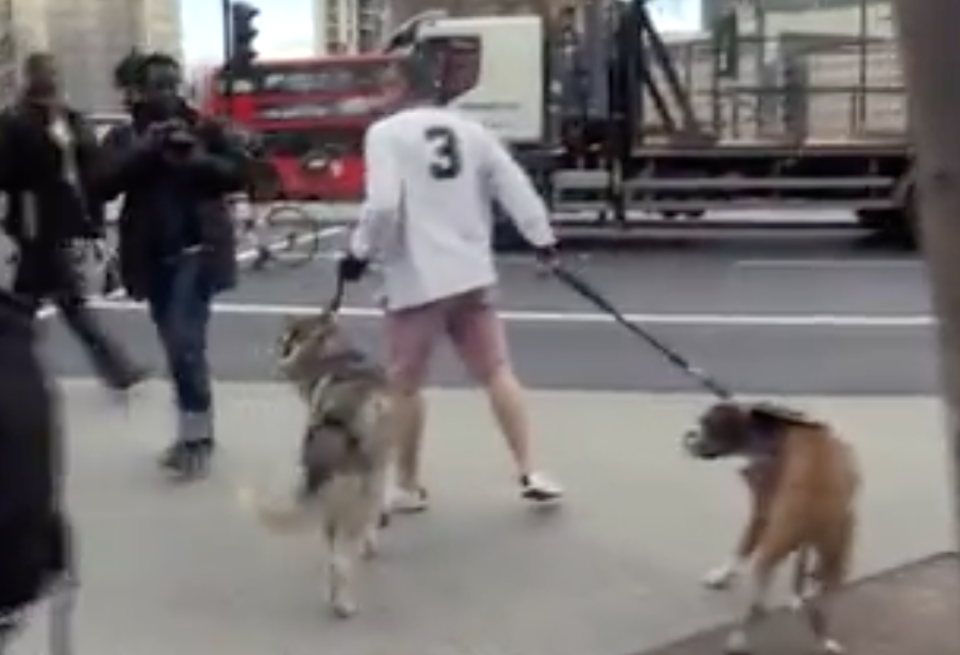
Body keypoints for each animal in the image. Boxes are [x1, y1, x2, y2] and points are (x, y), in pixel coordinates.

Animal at [242, 312, 396, 620]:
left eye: (289, 337)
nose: (278, 356)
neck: (332, 354)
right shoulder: (378, 475)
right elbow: (375, 514)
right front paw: (372, 541)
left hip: (330, 509)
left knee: (332, 560)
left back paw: (334, 598)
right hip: (348, 506)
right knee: (341, 561)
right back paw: (344, 605)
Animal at [688, 402, 860, 652]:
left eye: (708, 425)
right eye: (701, 422)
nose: (688, 438)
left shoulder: (761, 514)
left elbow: (741, 549)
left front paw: (721, 575)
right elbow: (801, 565)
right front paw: (797, 595)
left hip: (775, 547)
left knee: (758, 607)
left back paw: (739, 639)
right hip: (838, 550)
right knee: (825, 596)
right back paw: (824, 631)